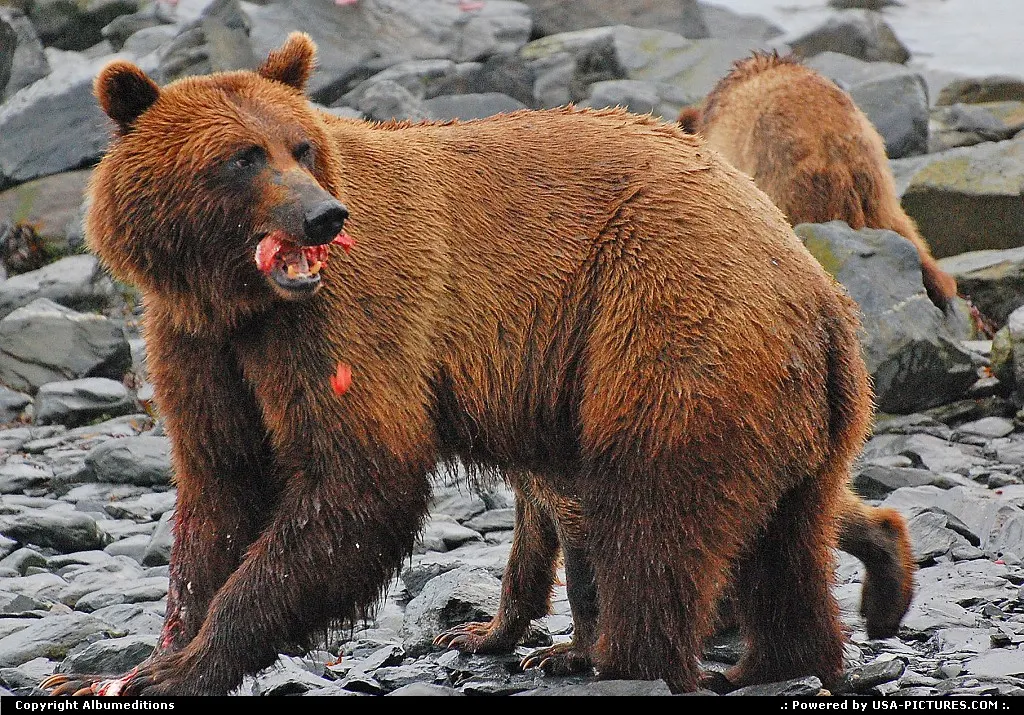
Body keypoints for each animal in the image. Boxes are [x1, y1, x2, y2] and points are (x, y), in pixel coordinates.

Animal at [43, 34, 873, 696]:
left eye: (299, 146)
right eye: (240, 157)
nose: (322, 216)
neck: (240, 297)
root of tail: (820, 293)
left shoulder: (352, 317)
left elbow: (357, 477)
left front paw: (183, 664)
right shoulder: (199, 344)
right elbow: (220, 489)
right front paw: (142, 657)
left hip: (670, 324)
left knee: (652, 513)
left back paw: (622, 657)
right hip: (792, 406)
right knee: (787, 548)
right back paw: (775, 660)